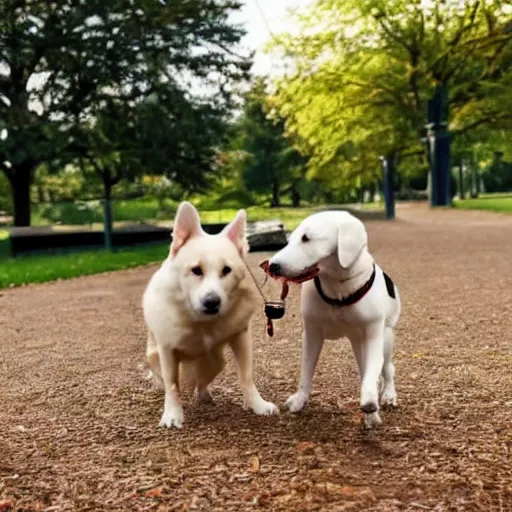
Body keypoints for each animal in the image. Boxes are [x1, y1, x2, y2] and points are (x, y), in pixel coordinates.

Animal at [142, 200, 280, 428]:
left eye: (226, 270)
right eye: (196, 270)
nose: (212, 303)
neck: (202, 322)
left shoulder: (241, 337)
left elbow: (247, 376)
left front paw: (256, 404)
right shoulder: (167, 350)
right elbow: (172, 386)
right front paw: (172, 414)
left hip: (215, 362)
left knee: (201, 383)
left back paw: (205, 395)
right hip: (156, 358)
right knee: (166, 381)